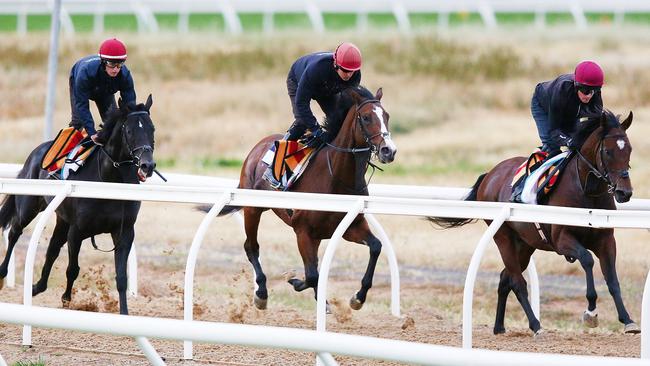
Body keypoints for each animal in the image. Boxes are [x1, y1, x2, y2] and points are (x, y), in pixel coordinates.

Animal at [0, 96, 156, 316]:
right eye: (130, 131)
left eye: (152, 129)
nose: (147, 165)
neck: (109, 180)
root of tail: (37, 150)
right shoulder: (77, 230)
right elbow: (73, 269)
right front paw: (66, 298)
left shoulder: (124, 232)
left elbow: (121, 277)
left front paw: (124, 314)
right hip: (29, 206)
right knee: (15, 231)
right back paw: (2, 273)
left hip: (61, 218)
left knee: (52, 248)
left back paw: (37, 287)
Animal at [220, 86, 398, 312]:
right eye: (366, 118)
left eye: (387, 116)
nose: (389, 150)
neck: (336, 177)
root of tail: (258, 146)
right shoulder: (302, 231)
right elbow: (312, 274)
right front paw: (295, 281)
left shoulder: (351, 227)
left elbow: (375, 247)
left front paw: (358, 297)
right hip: (253, 210)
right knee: (251, 247)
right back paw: (261, 293)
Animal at [428, 111, 636, 334]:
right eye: (607, 151)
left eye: (629, 149)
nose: (624, 192)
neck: (587, 193)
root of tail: (490, 175)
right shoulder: (562, 240)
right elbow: (587, 259)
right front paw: (590, 311)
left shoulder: (606, 240)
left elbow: (613, 280)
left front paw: (627, 319)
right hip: (503, 238)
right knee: (517, 282)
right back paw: (536, 325)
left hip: (525, 245)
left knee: (505, 278)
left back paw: (499, 327)